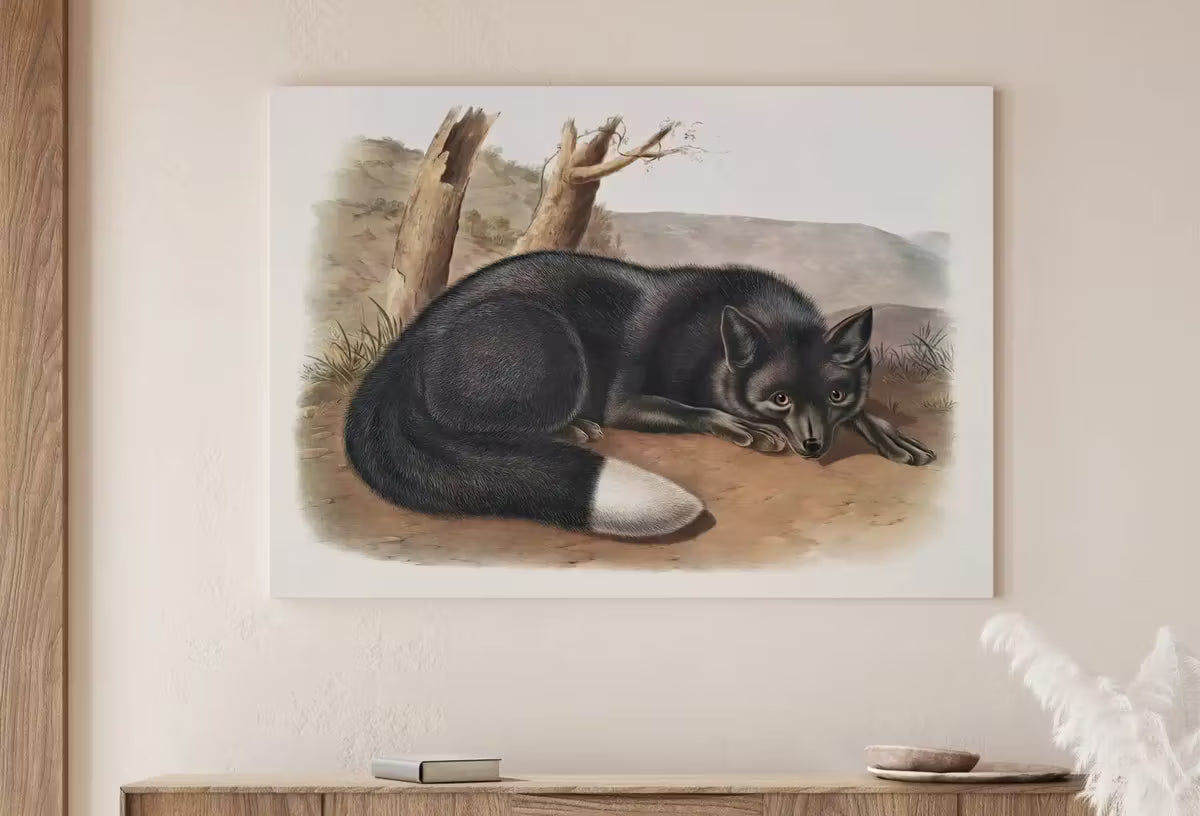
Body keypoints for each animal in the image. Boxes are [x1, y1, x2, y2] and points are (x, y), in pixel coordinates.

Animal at [344, 250, 935, 539]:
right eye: (780, 400)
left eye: (835, 395)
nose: (812, 447)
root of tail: (411, 342)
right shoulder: (624, 400)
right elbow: (694, 409)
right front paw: (745, 429)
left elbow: (867, 417)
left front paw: (893, 438)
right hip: (549, 339)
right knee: (465, 420)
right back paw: (574, 428)